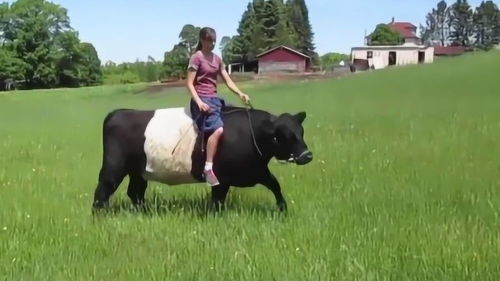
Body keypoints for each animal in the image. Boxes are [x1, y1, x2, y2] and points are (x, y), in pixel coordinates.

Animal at [92, 104, 312, 210]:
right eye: (284, 136)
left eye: (301, 132)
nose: (308, 155)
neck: (252, 133)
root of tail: (117, 113)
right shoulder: (222, 177)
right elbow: (217, 200)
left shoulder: (257, 170)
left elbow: (275, 185)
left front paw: (283, 208)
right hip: (114, 167)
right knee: (103, 190)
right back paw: (99, 216)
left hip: (138, 171)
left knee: (135, 192)